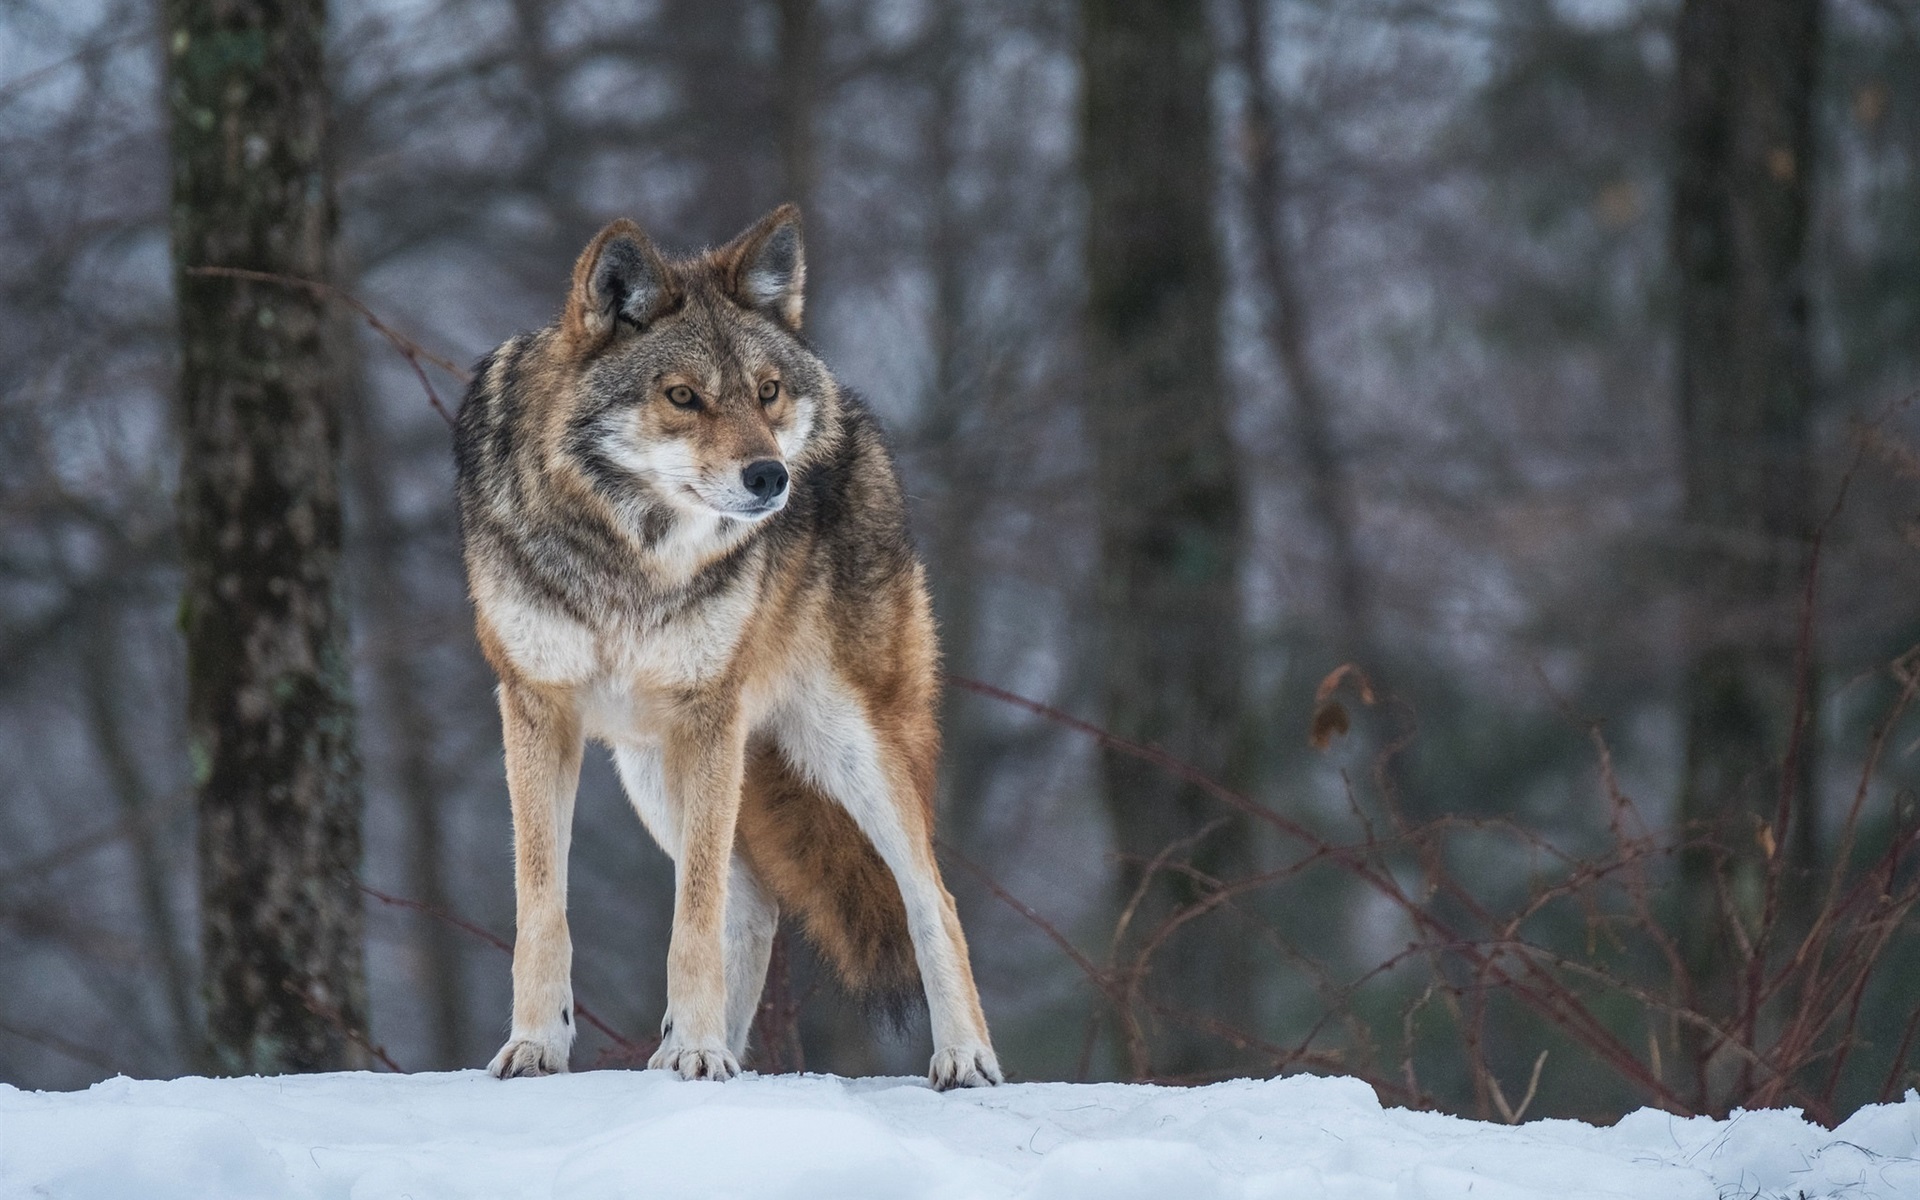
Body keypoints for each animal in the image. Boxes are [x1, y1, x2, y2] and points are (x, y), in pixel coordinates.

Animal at [453, 208, 1006, 1098]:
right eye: (683, 396)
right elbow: (543, 904)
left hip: (846, 744)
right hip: (650, 769)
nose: (772, 477)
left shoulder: (707, 715)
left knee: (931, 897)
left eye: (766, 392)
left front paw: (701, 1052)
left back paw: (963, 1058)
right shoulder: (536, 707)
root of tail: (852, 407)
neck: (631, 553)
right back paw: (687, 1055)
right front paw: (537, 1047)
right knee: (753, 905)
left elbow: (694, 911)